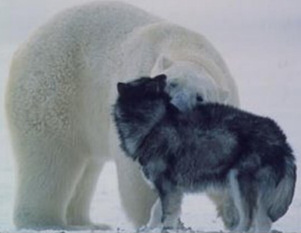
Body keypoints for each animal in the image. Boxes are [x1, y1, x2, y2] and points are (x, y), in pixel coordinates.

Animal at [5, 0, 239, 230]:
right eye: (169, 85)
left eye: (200, 97)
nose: (174, 107)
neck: (187, 48)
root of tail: (25, 45)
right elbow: (138, 175)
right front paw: (157, 219)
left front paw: (236, 216)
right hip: (54, 92)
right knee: (50, 159)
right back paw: (44, 221)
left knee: (87, 168)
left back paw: (86, 222)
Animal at [113, 75, 296, 232]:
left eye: (149, 83)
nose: (163, 76)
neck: (154, 124)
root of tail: (281, 139)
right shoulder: (172, 188)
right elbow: (158, 210)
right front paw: (151, 228)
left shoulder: (167, 186)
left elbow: (168, 214)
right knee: (264, 221)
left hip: (239, 182)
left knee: (249, 220)